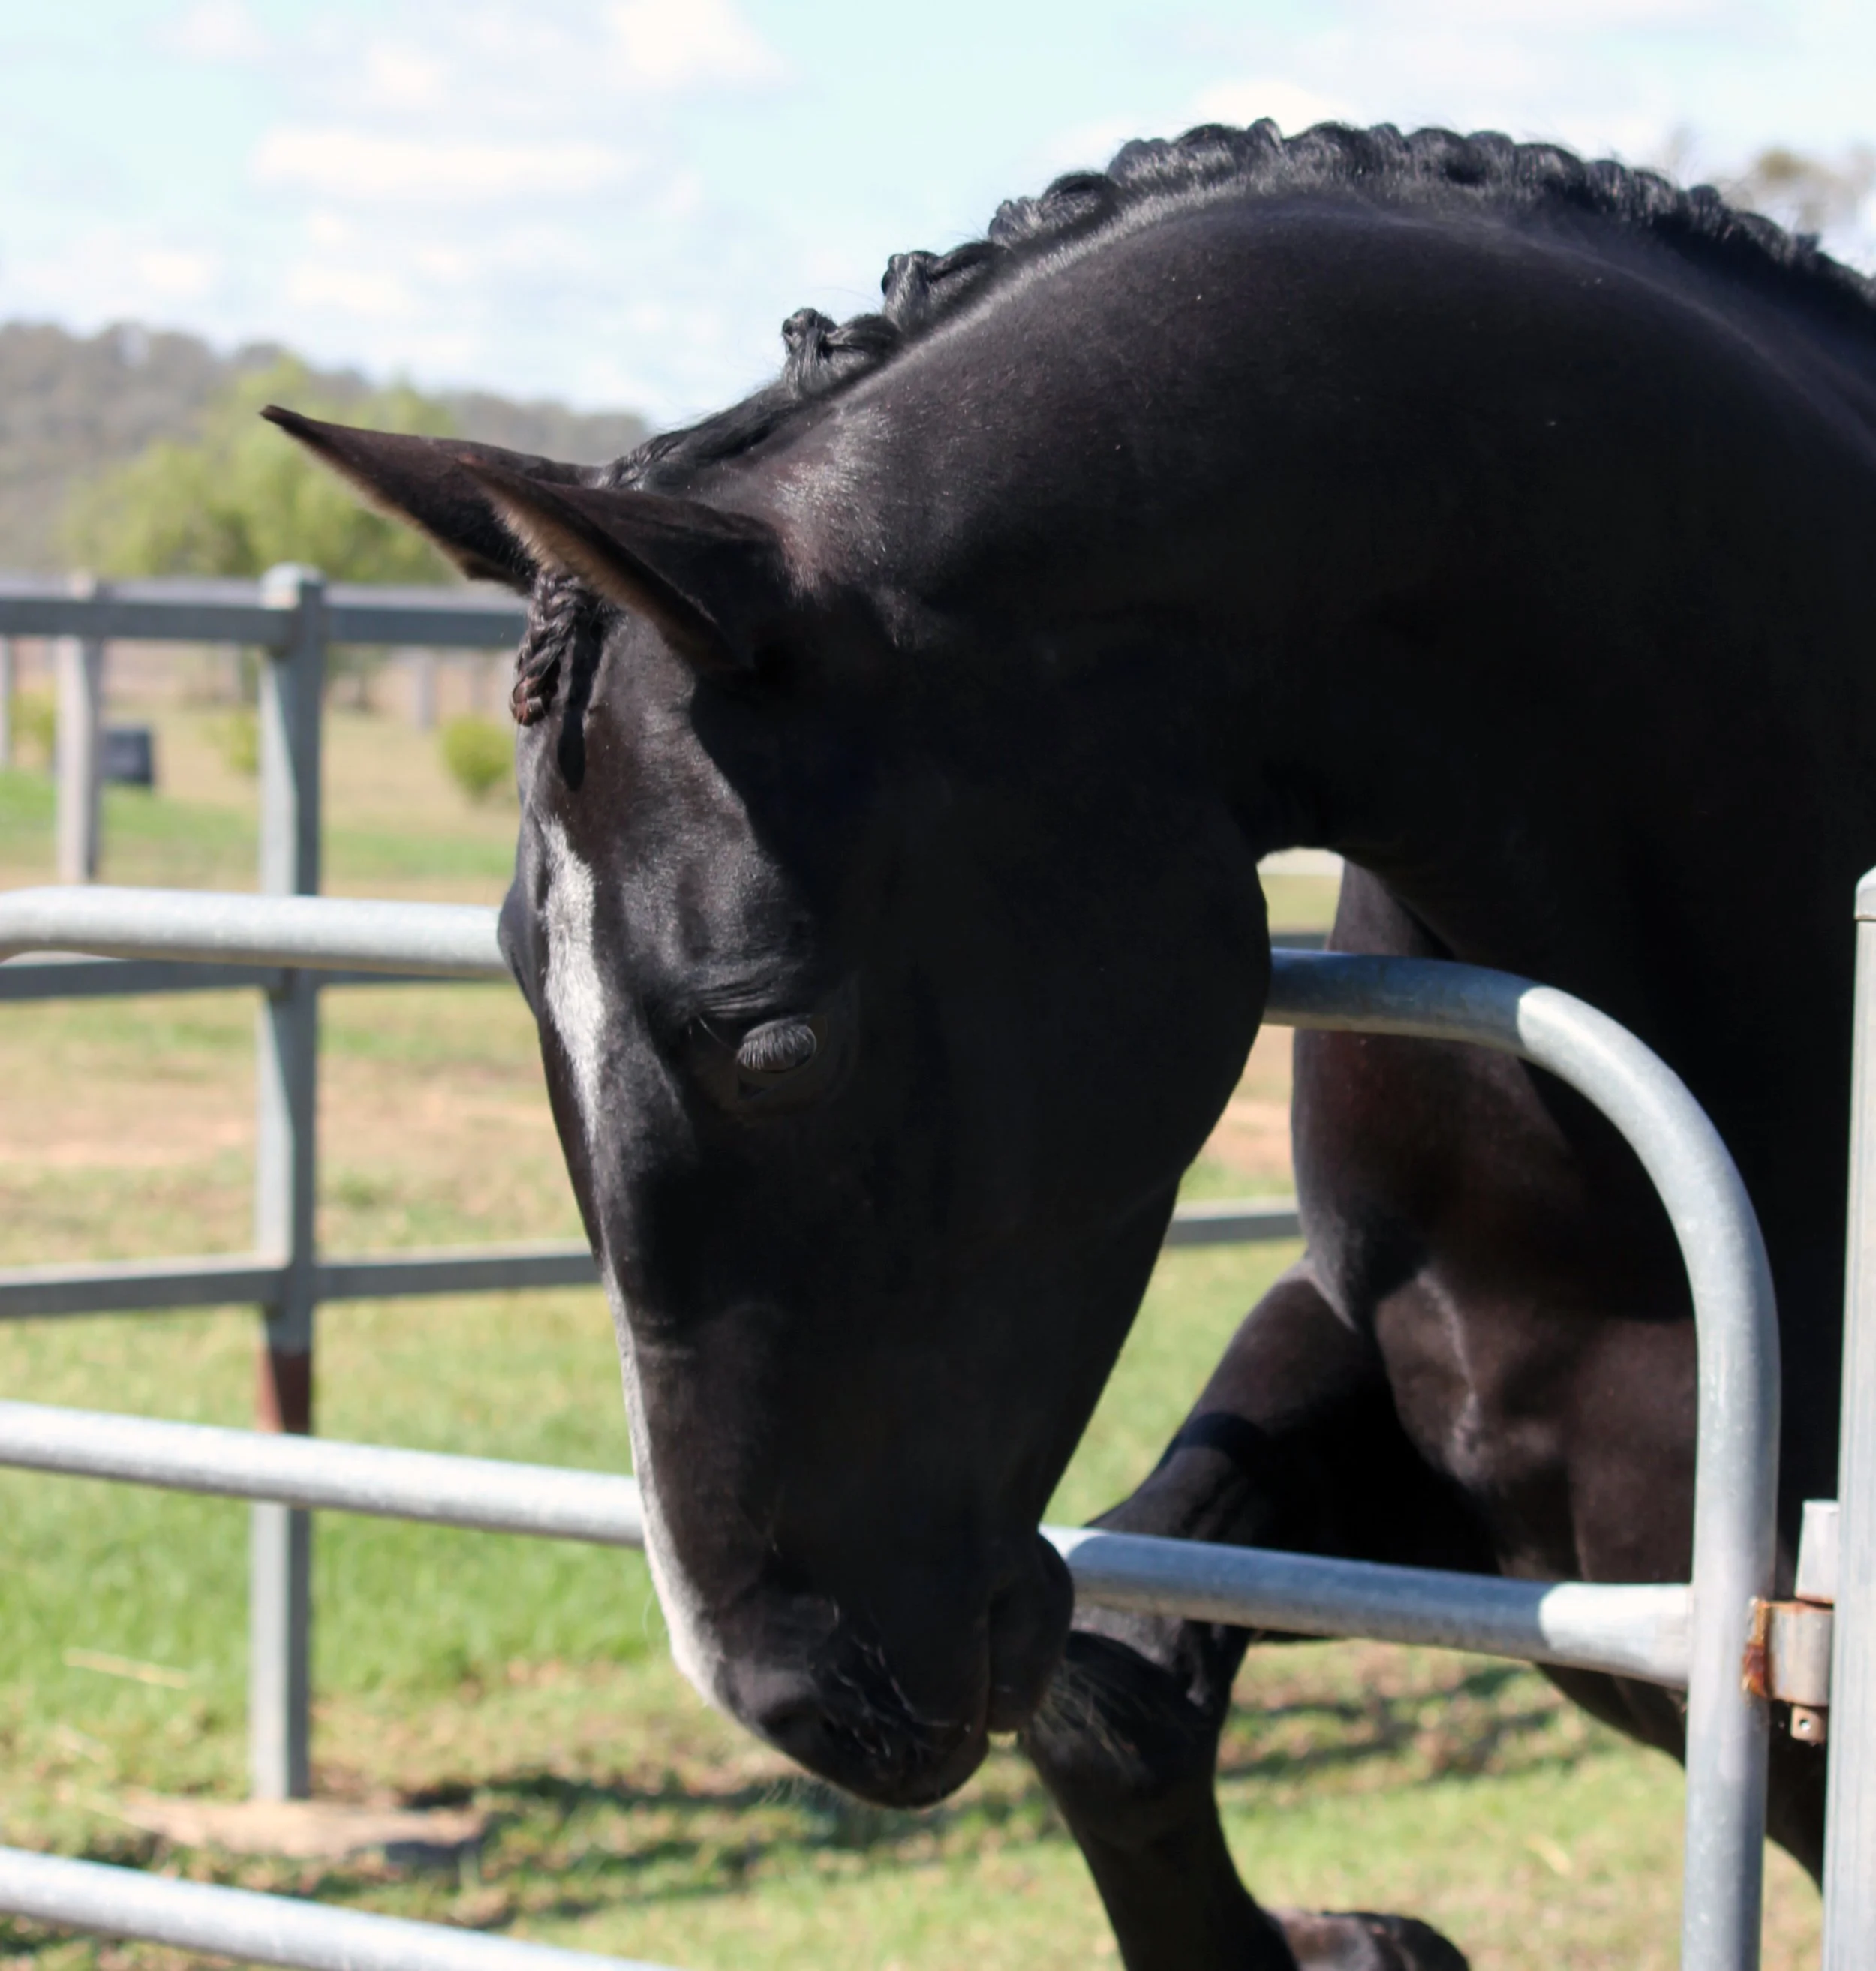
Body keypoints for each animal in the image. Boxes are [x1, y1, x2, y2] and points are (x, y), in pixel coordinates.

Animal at [267, 120, 1876, 1969]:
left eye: (773, 1035)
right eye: (523, 978)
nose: (788, 1696)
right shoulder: (1409, 1389)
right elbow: (1111, 1691)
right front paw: (1359, 1946)